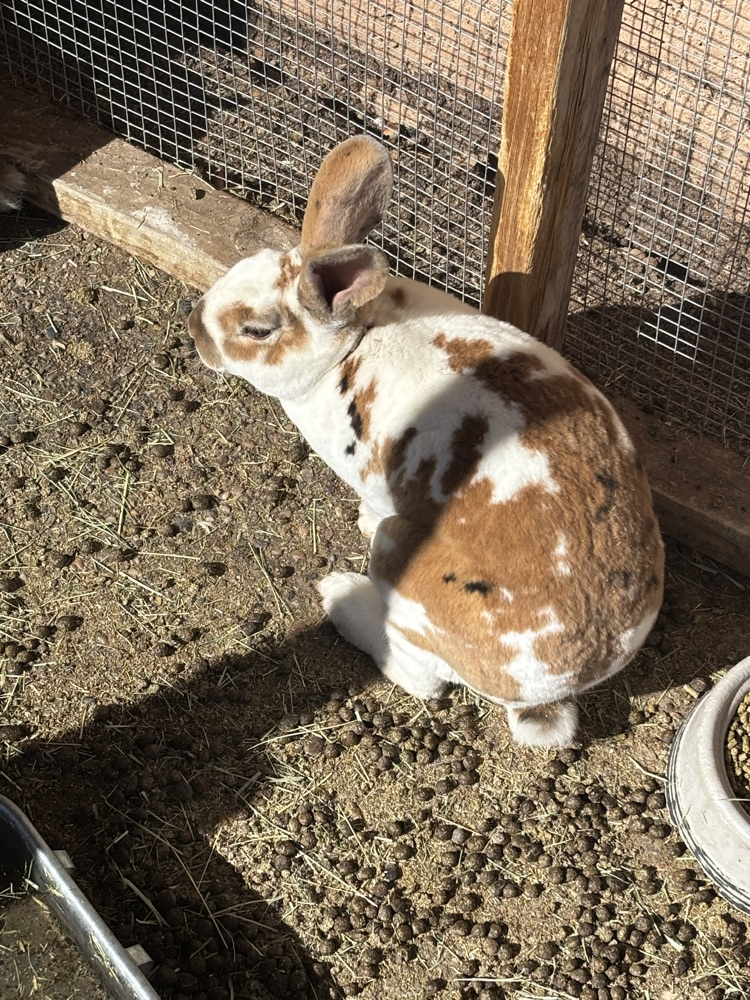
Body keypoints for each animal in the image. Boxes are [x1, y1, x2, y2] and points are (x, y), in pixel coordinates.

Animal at [188, 136, 664, 747]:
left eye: (256, 330)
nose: (195, 328)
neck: (354, 341)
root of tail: (551, 692)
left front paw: (359, 524)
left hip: (402, 564)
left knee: (420, 677)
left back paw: (341, 597)